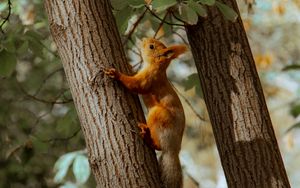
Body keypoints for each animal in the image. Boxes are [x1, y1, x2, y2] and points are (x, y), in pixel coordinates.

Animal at [104, 37, 186, 187]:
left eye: (151, 46)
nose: (143, 39)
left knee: (158, 146)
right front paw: (129, 65)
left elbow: (136, 85)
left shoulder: (148, 79)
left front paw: (116, 74)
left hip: (159, 115)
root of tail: (173, 149)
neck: (157, 67)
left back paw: (147, 135)